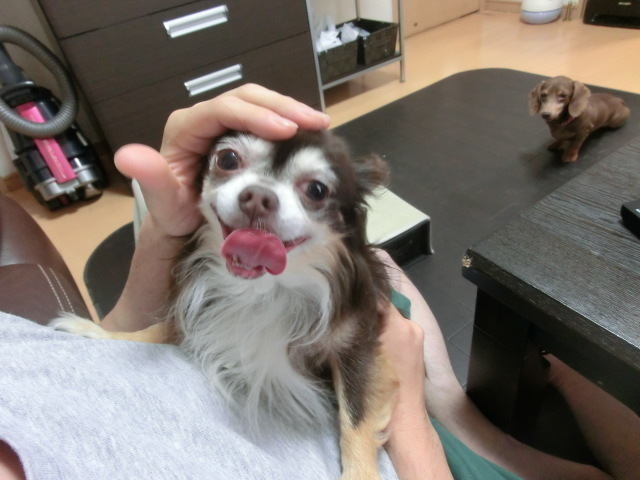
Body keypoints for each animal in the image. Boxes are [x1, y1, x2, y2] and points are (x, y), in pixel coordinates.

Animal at [53, 130, 398, 480]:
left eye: (317, 190)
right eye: (228, 160)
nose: (258, 196)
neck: (263, 289)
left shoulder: (356, 344)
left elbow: (355, 416)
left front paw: (360, 474)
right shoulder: (199, 314)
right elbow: (156, 330)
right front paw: (101, 334)